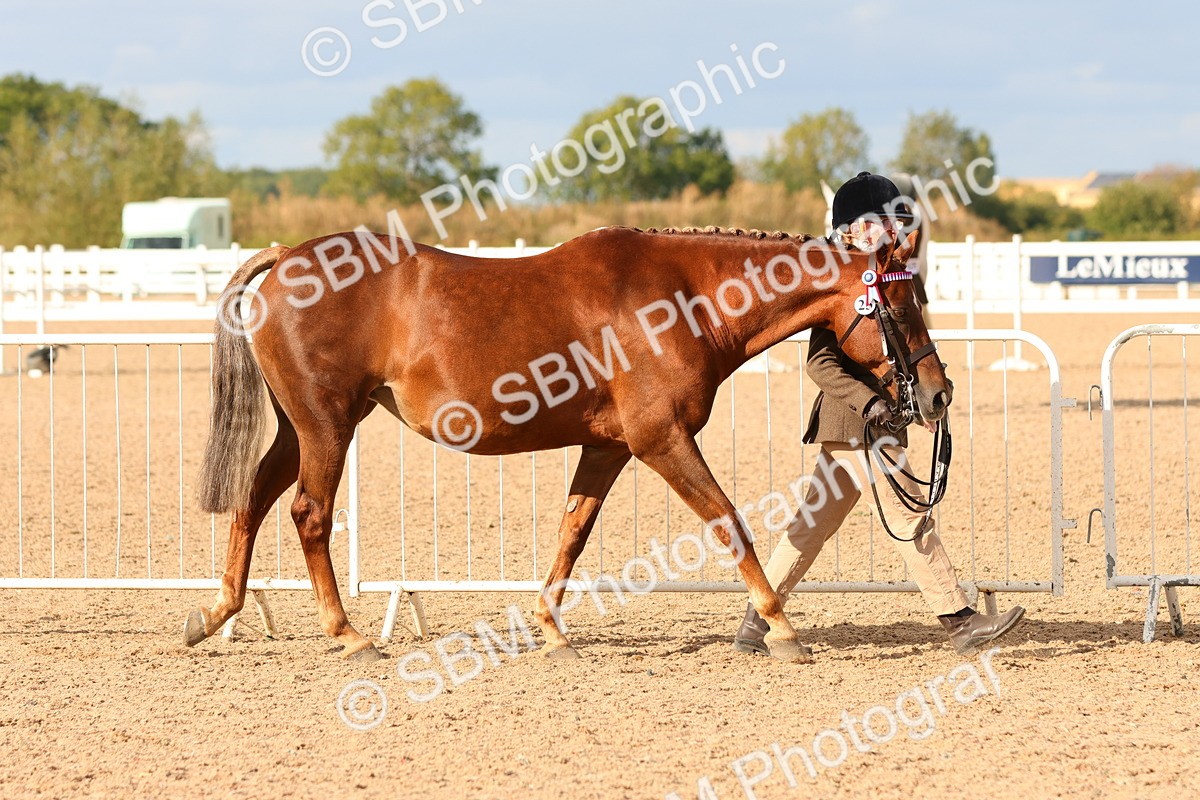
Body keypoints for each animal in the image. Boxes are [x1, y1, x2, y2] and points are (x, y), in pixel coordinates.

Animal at [185, 224, 949, 663]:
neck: (678, 298)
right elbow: (728, 522)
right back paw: (347, 635)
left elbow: (572, 531)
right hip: (327, 427)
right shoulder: (662, 440)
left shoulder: (609, 448)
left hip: (299, 429)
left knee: (252, 502)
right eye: (903, 305)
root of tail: (286, 258)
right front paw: (783, 629)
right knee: (308, 515)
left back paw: (214, 614)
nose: (937, 394)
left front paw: (550, 631)